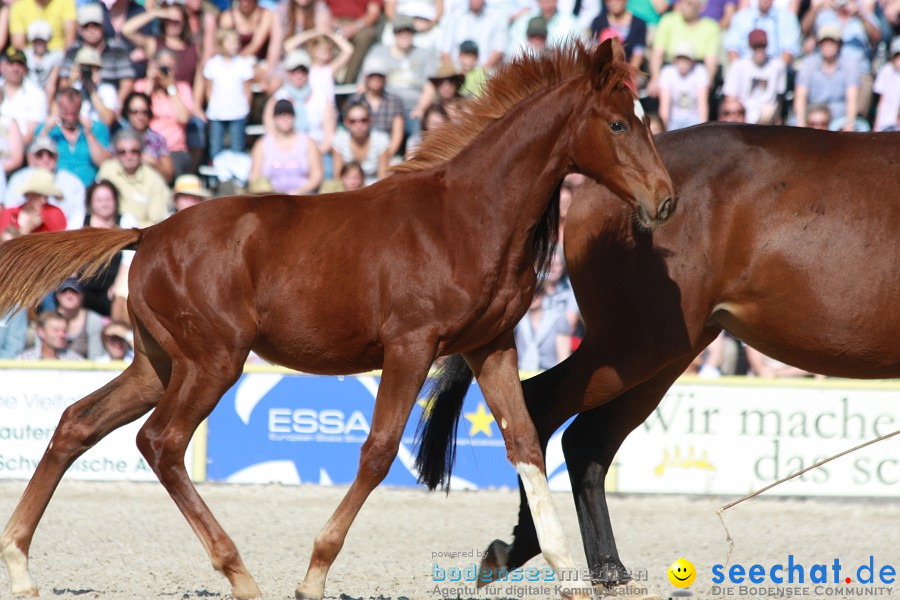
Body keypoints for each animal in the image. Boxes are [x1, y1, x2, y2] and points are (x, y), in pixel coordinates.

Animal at [0, 39, 676, 596]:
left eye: (645, 119)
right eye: (618, 123)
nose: (665, 201)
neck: (466, 217)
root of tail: (148, 232)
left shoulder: (492, 346)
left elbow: (527, 443)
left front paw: (570, 577)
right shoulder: (411, 345)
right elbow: (377, 452)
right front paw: (314, 575)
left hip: (159, 363)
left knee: (77, 423)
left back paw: (21, 565)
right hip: (213, 361)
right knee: (160, 442)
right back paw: (240, 574)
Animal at [420, 124, 900, 592]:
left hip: (664, 355)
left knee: (585, 441)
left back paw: (607, 570)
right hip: (636, 346)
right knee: (540, 408)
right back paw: (529, 545)